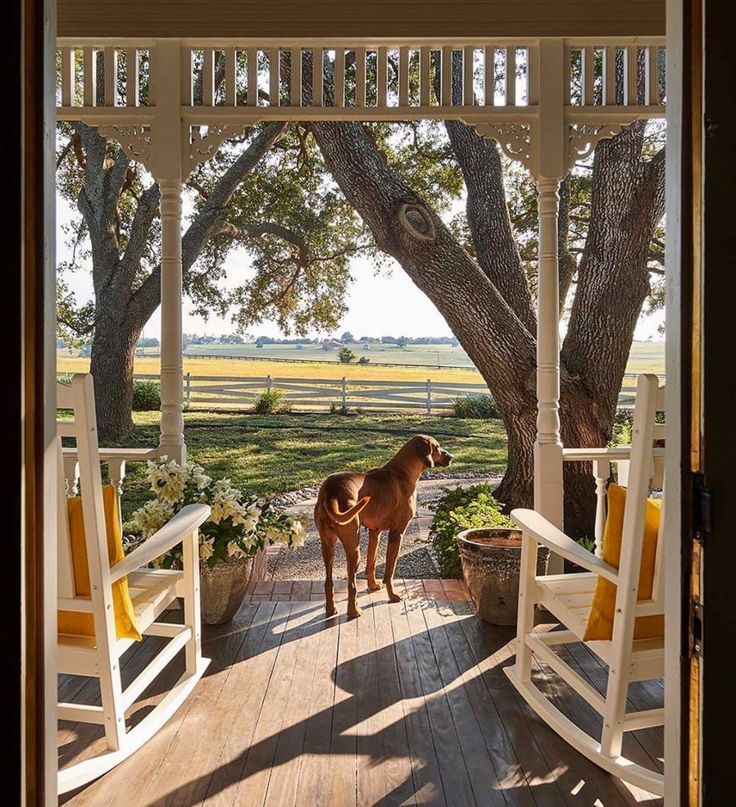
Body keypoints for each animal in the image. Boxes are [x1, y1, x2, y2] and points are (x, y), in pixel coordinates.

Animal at [312, 436, 452, 620]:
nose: (451, 457)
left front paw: (373, 586)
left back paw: (331, 609)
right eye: (437, 447)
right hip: (353, 546)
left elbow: (371, 563)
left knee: (328, 581)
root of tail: (331, 492)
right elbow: (389, 571)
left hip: (327, 545)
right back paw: (354, 611)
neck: (402, 472)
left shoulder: (375, 532)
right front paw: (392, 595)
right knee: (351, 583)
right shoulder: (397, 534)